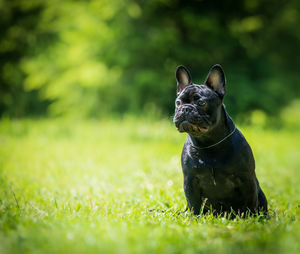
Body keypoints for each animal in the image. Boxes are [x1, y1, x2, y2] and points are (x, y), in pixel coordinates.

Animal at [172, 64, 268, 214]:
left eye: (201, 102)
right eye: (177, 102)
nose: (185, 108)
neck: (208, 143)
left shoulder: (246, 180)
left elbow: (250, 203)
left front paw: (251, 218)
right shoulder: (190, 181)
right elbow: (194, 206)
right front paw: (195, 218)